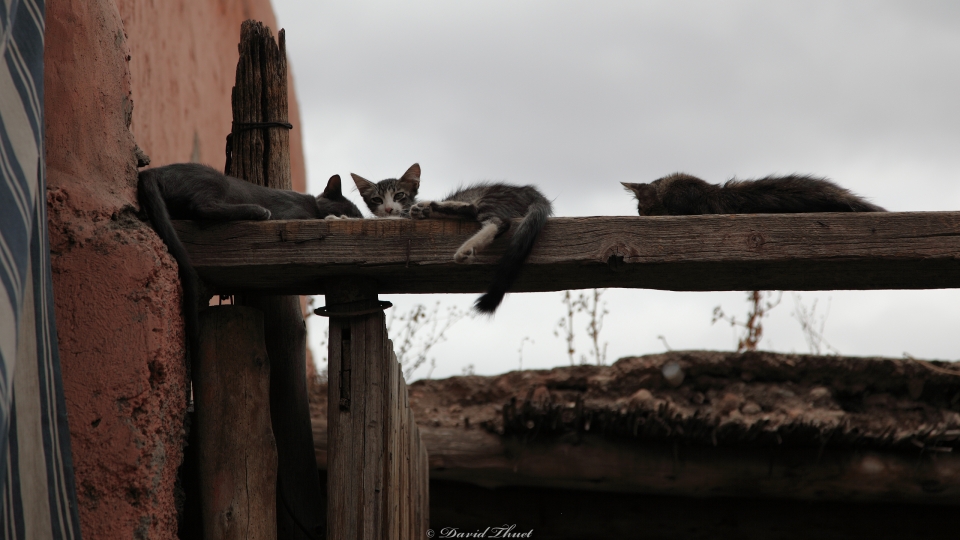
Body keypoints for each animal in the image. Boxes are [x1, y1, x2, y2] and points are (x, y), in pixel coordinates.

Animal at [135, 162, 360, 360]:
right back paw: (258, 211)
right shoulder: (293, 214)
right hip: (214, 179)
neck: (311, 205)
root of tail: (151, 171)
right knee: (203, 206)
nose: (356, 219)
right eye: (348, 212)